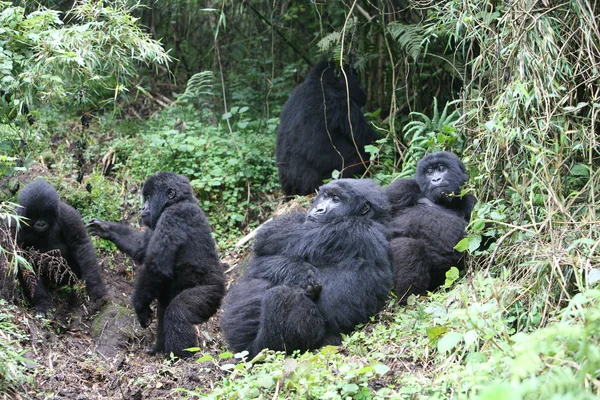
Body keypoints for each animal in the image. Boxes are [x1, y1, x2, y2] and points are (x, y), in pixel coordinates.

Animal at [14, 180, 106, 314]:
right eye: (35, 214)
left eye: (46, 214)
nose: (40, 223)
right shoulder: (14, 223)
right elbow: (23, 262)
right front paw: (42, 302)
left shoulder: (68, 214)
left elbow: (80, 244)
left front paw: (95, 285)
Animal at [85, 170, 224, 358]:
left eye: (150, 198)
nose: (143, 208)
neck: (179, 201)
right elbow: (141, 247)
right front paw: (107, 229)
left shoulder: (173, 217)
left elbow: (156, 266)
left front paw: (139, 307)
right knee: (164, 307)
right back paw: (159, 348)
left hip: (212, 294)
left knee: (178, 311)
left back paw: (182, 355)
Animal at [220, 180, 394, 358]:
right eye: (325, 196)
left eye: (336, 200)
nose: (319, 209)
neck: (370, 217)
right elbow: (263, 254)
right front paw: (299, 273)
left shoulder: (348, 230)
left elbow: (272, 238)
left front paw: (300, 275)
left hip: (265, 349)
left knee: (284, 297)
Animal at [276, 60, 380, 195]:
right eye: (355, 79)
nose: (363, 93)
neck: (320, 82)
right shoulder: (344, 104)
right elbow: (368, 141)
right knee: (361, 158)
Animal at [384, 152, 478, 302]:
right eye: (429, 172)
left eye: (441, 169)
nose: (436, 179)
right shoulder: (402, 187)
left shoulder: (472, 202)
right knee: (408, 247)